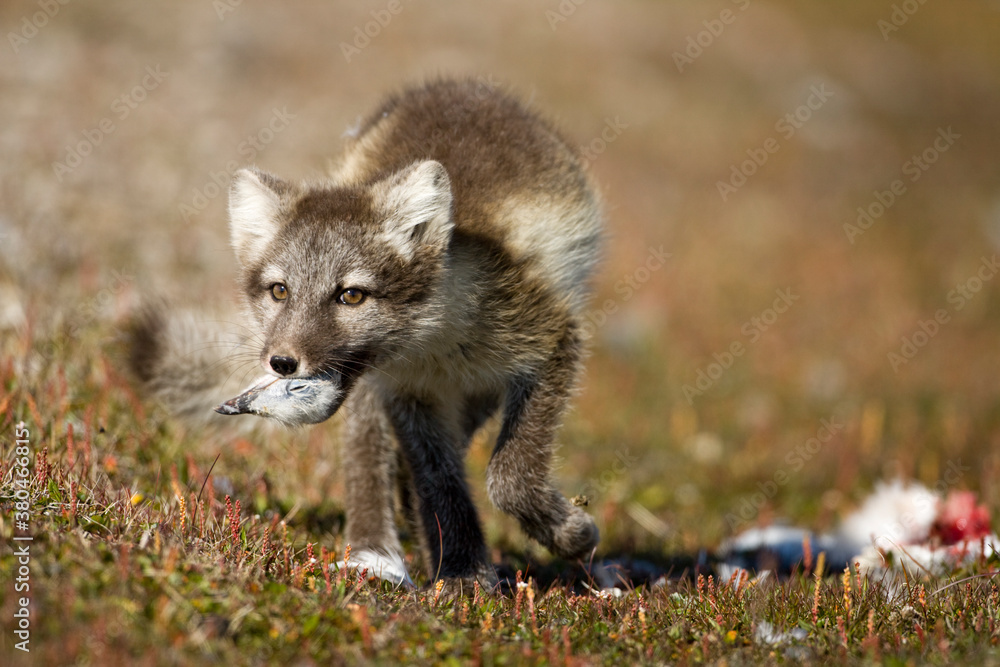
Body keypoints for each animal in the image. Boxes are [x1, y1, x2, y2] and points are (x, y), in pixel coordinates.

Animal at [128, 78, 603, 588]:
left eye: (351, 295)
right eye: (280, 291)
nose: (282, 363)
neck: (439, 342)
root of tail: (455, 85)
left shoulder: (552, 340)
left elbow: (508, 478)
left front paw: (568, 536)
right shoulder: (407, 393)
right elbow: (438, 479)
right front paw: (463, 570)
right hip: (374, 397)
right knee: (373, 459)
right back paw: (373, 556)